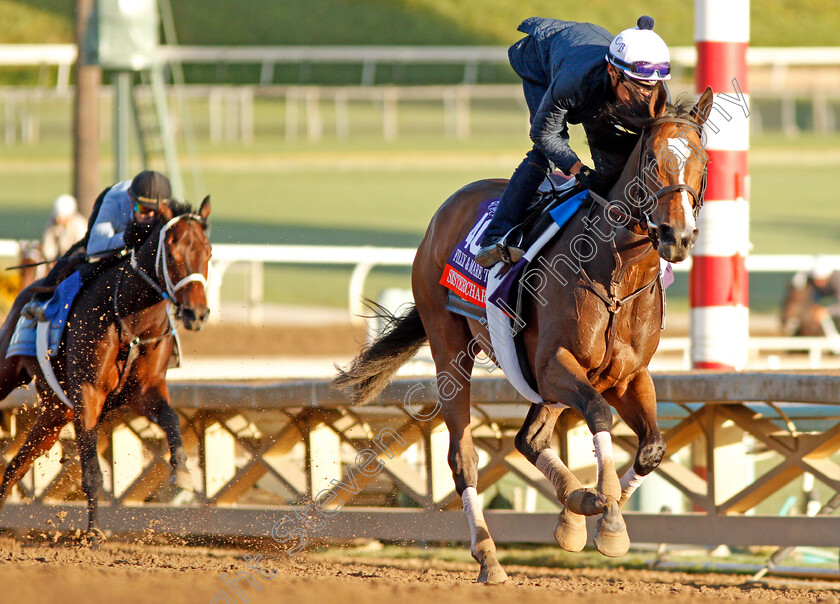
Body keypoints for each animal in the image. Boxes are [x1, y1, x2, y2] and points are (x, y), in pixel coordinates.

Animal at [0, 198, 212, 544]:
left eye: (207, 252)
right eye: (173, 251)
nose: (197, 313)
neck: (132, 320)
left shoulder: (146, 390)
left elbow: (170, 419)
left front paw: (181, 472)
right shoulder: (88, 393)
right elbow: (91, 472)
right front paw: (93, 531)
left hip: (54, 414)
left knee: (15, 466)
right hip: (10, 373)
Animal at [338, 82, 712, 584]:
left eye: (703, 160)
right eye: (652, 160)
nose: (678, 235)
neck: (617, 275)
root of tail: (446, 211)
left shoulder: (627, 376)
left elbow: (651, 447)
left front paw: (601, 510)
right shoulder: (555, 363)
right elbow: (598, 414)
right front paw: (609, 516)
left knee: (528, 440)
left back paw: (575, 507)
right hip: (450, 347)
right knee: (464, 456)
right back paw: (490, 556)